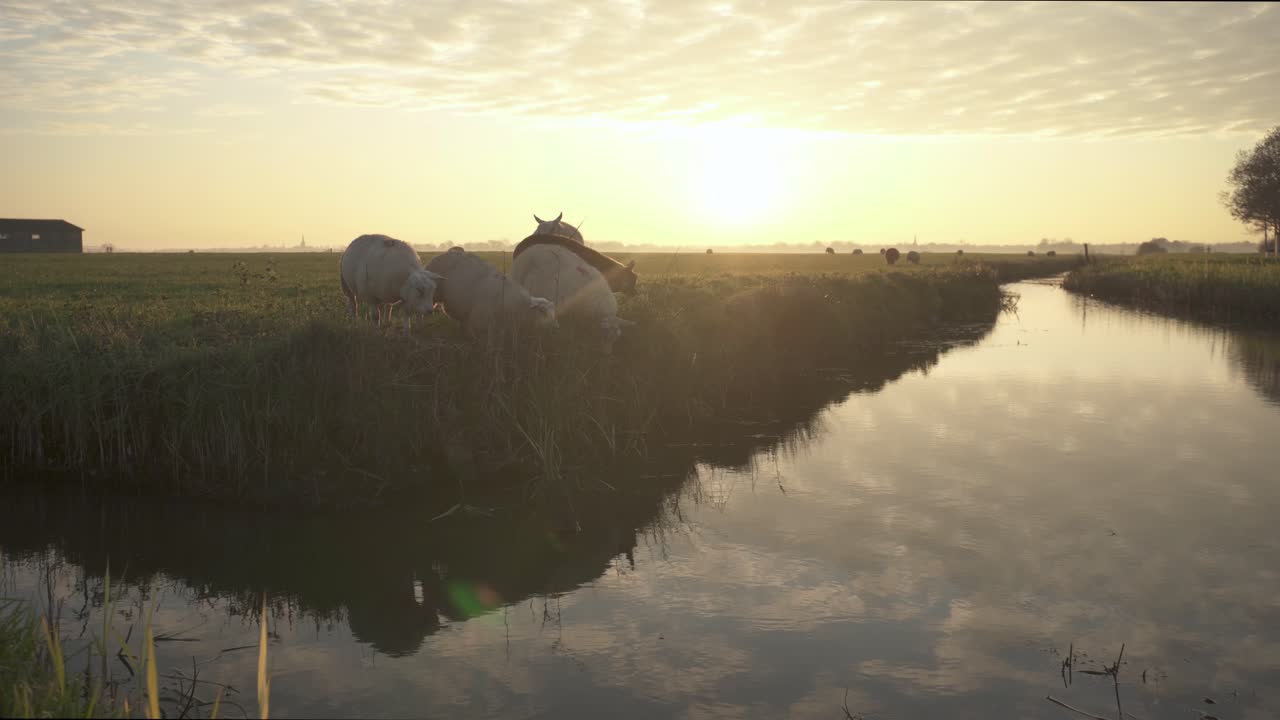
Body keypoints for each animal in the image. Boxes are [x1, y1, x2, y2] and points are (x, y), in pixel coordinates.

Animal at [423, 249, 557, 347]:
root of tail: (445, 253)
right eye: (542, 312)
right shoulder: (481, 323)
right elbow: (488, 344)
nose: (556, 329)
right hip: (432, 295)